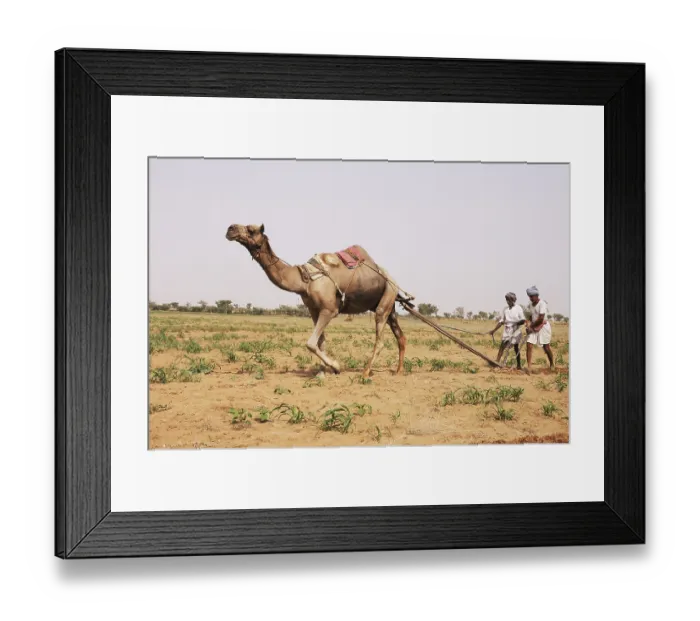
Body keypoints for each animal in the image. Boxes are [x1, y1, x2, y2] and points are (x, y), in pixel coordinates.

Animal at [225, 223, 408, 378]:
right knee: (400, 336)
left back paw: (366, 372)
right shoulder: (314, 310)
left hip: (386, 297)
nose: (230, 229)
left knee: (381, 339)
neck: (303, 280)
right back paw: (398, 371)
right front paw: (322, 372)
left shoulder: (329, 309)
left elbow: (311, 343)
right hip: (389, 306)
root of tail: (392, 281)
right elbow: (321, 342)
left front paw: (336, 366)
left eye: (251, 230)